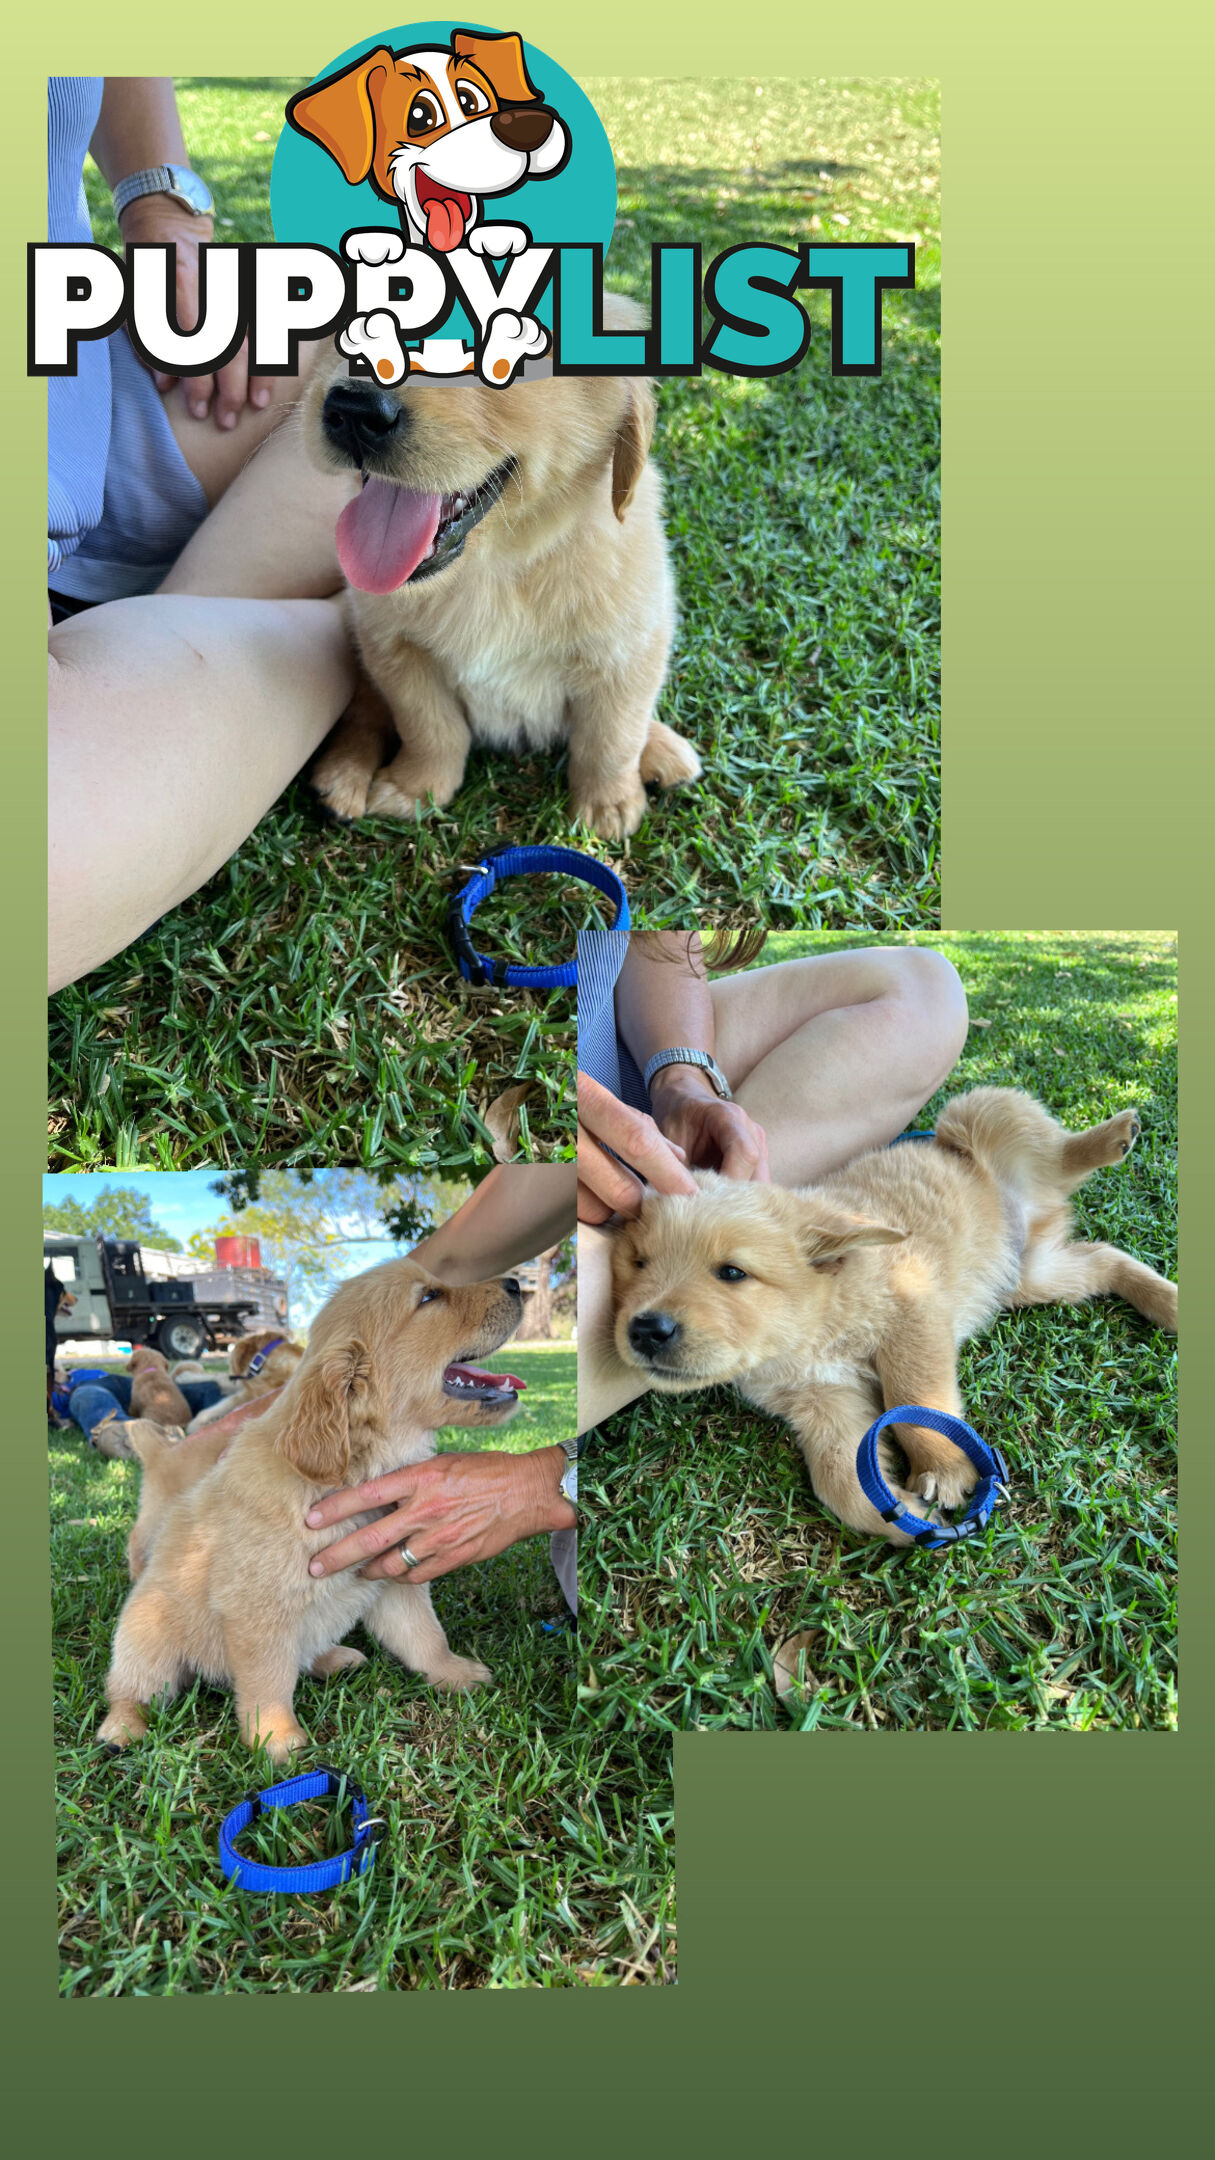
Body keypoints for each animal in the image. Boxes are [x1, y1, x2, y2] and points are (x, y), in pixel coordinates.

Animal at [96, 1261, 523, 1762]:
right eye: (429, 1297)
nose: (516, 1283)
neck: (353, 1473)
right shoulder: (257, 1612)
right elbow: (268, 1681)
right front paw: (276, 1739)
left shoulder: (391, 1579)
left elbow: (425, 1637)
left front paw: (454, 1673)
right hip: (147, 1636)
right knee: (131, 1688)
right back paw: (122, 1727)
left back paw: (334, 1658)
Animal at [300, 295, 700, 842]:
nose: (355, 411)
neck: (496, 568)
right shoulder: (394, 647)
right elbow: (429, 728)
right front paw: (416, 789)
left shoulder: (630, 650)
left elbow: (613, 736)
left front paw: (608, 805)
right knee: (365, 708)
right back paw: (343, 775)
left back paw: (663, 750)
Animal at [613, 1088, 1176, 1546]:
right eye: (639, 1263)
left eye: (731, 1272)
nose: (646, 1329)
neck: (810, 1332)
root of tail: (1028, 1207)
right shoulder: (822, 1403)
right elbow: (841, 1479)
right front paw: (905, 1518)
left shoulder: (914, 1310)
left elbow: (915, 1397)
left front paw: (942, 1468)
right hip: (1033, 1276)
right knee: (1103, 1258)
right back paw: (1166, 1300)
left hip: (978, 1114)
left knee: (1057, 1153)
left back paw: (1112, 1137)